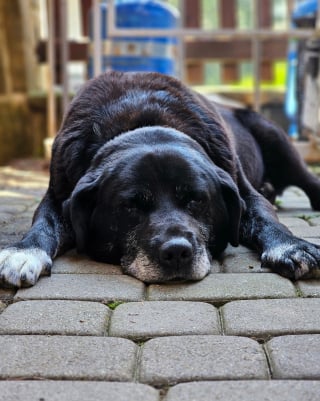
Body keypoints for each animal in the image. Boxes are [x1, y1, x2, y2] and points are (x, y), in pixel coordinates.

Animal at [0, 71, 320, 284]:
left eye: (196, 200)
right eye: (130, 206)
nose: (177, 252)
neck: (142, 120)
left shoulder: (242, 188)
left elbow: (266, 218)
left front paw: (291, 246)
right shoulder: (58, 194)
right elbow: (43, 224)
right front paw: (24, 252)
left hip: (275, 138)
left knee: (306, 181)